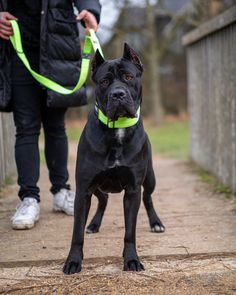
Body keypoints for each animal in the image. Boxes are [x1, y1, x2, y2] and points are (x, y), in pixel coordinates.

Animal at [63, 44, 165, 276]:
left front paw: (132, 260)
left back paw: (156, 223)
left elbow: (130, 232)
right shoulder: (83, 190)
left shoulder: (133, 190)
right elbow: (76, 233)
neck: (117, 130)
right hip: (96, 186)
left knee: (148, 198)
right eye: (104, 82)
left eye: (128, 76)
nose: (118, 94)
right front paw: (73, 261)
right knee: (104, 199)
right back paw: (93, 224)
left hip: (150, 178)